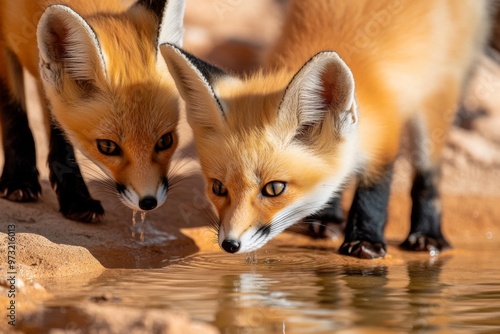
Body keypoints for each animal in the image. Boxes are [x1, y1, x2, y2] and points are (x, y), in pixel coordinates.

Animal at [0, 0, 186, 223]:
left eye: (165, 141)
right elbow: (13, 112)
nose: (148, 202)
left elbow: (59, 130)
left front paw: (76, 198)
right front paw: (19, 179)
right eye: (107, 146)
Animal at [160, 0, 492, 258]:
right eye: (218, 188)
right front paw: (328, 219)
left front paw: (365, 242)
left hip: (438, 95)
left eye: (274, 188)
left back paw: (427, 235)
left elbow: (374, 190)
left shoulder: (386, 129)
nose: (230, 245)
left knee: (428, 174)